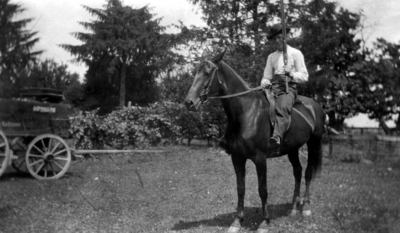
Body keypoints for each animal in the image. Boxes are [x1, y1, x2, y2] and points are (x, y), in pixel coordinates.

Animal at [184, 50, 324, 233]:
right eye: (196, 72)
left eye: (208, 73)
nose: (189, 102)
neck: (246, 112)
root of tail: (315, 106)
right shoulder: (237, 158)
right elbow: (240, 189)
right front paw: (237, 221)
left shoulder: (260, 159)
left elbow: (262, 190)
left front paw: (264, 222)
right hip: (293, 149)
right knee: (298, 172)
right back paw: (293, 208)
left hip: (313, 143)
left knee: (307, 173)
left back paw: (306, 207)